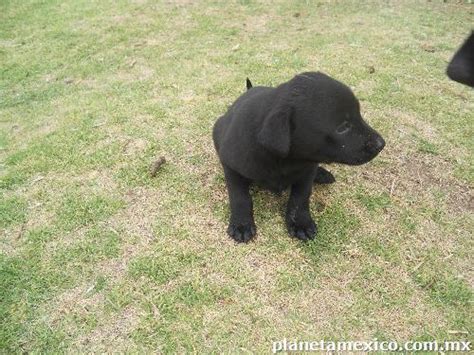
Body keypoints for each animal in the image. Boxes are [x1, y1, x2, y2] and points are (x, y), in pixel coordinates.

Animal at [214, 72, 386, 245]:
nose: (381, 144)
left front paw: (300, 222)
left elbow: (301, 196)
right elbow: (240, 196)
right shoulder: (230, 166)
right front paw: (242, 224)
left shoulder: (307, 170)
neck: (285, 160)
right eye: (343, 127)